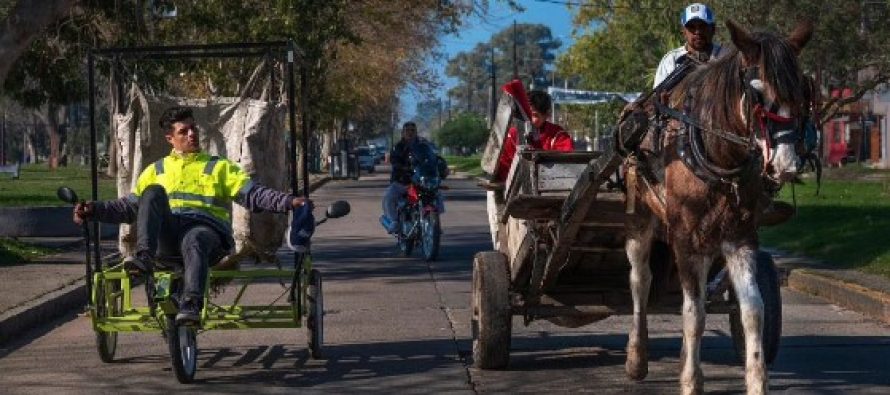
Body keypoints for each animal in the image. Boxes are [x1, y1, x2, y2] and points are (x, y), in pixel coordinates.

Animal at [624, 19, 812, 395]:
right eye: (757, 92)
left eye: (802, 91)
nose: (786, 164)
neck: (717, 154)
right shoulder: (686, 240)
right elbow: (693, 313)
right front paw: (690, 381)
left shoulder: (740, 238)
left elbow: (753, 310)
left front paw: (756, 382)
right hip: (641, 220)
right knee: (640, 280)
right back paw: (637, 357)